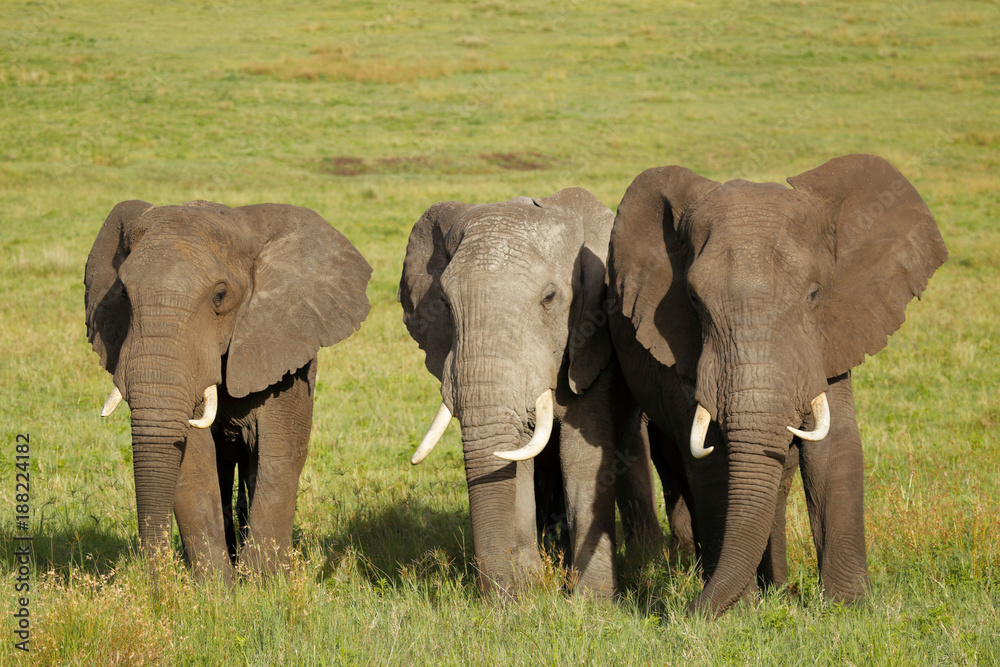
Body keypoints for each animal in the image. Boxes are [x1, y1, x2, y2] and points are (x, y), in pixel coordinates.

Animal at [85, 199, 372, 581]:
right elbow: (194, 462)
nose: (156, 579)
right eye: (122, 294)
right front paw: (215, 588)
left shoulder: (282, 343)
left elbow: (279, 453)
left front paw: (264, 584)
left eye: (220, 296)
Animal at [399, 188, 661, 600]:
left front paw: (592, 603)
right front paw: (530, 592)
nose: (500, 602)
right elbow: (514, 457)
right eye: (443, 302)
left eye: (549, 297)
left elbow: (582, 455)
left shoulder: (589, 339)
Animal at [607, 154, 947, 617]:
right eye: (694, 301)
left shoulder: (830, 335)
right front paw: (739, 612)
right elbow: (711, 460)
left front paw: (848, 608)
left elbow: (836, 447)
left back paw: (775, 587)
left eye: (815, 294)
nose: (684, 611)